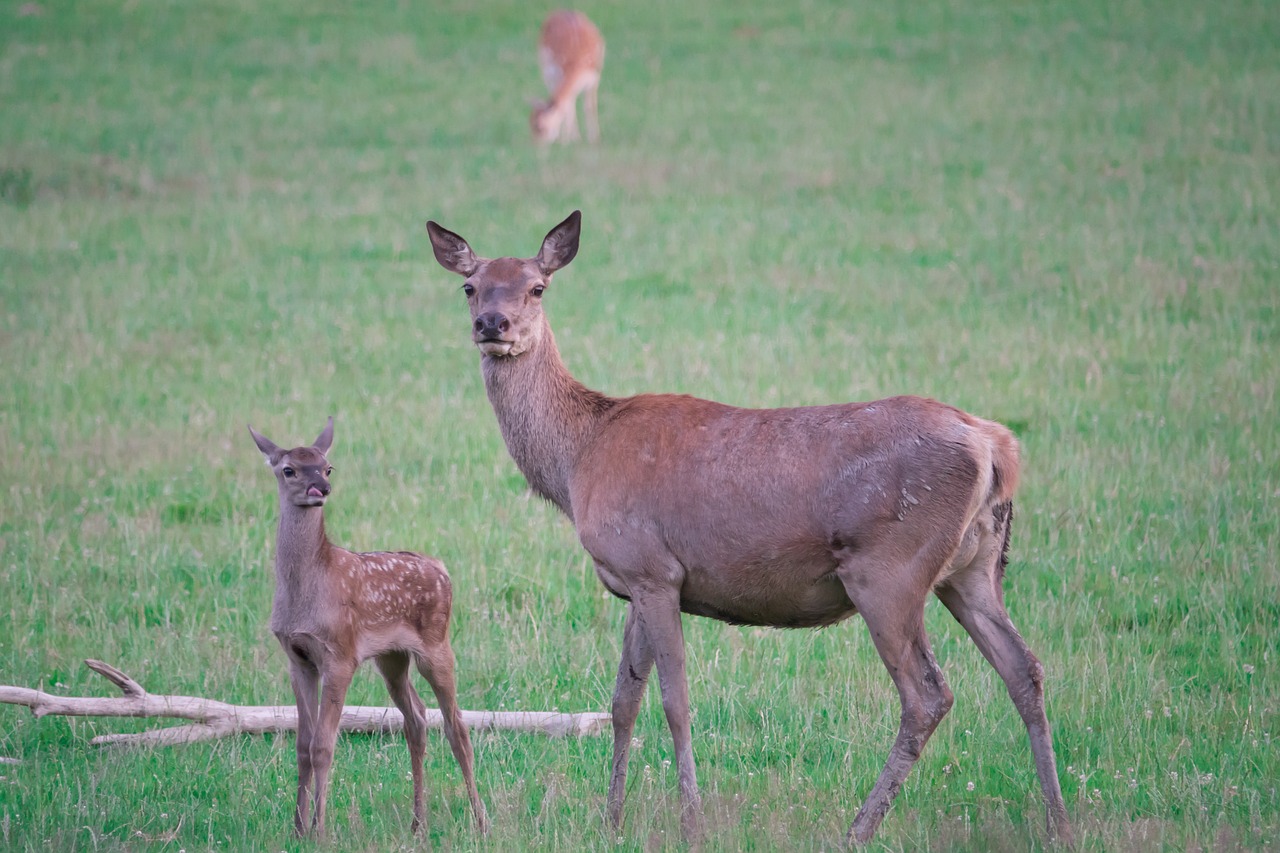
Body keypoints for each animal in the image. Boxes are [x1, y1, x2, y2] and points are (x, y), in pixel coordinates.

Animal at [249, 414, 488, 835]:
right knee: (417, 719)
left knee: (456, 726)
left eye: (327, 466)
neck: (306, 589)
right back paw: (417, 823)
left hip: (437, 644)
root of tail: (442, 568)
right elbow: (302, 745)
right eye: (288, 469)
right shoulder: (298, 658)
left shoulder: (340, 654)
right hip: (391, 657)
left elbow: (323, 745)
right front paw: (296, 828)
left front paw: (319, 831)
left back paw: (480, 821)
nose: (321, 488)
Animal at [424, 212, 1075, 845]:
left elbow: (675, 700)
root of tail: (995, 444)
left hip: (889, 570)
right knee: (1025, 669)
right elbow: (623, 700)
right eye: (470, 285)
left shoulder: (653, 569)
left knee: (927, 694)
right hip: (972, 567)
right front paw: (610, 821)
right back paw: (1058, 823)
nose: (492, 323)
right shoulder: (634, 578)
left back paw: (858, 828)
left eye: (538, 286)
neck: (577, 459)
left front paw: (691, 822)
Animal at [532, 10, 606, 142]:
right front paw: (570, 139)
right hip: (546, 69)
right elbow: (568, 105)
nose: (534, 143)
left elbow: (590, 106)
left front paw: (594, 139)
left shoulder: (595, 77)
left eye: (539, 127)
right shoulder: (559, 75)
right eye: (530, 123)